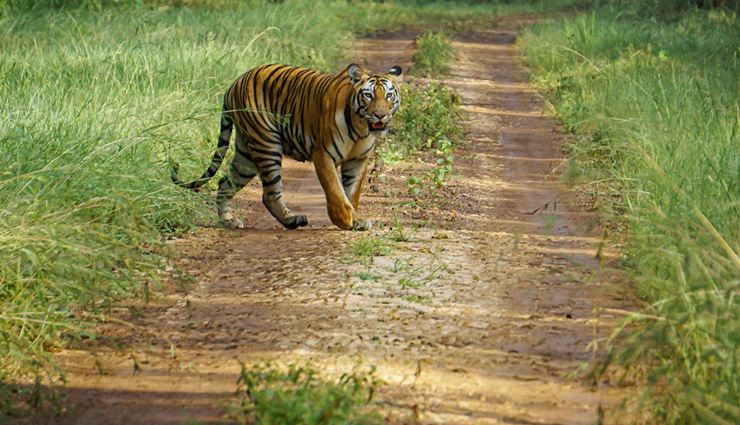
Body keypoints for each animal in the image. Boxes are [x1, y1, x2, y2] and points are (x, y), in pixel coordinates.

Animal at [171, 63, 402, 230]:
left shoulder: (358, 160)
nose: (380, 115)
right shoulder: (323, 155)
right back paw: (292, 220)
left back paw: (228, 221)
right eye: (368, 95)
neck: (361, 128)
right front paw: (344, 220)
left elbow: (352, 193)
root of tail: (233, 85)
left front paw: (356, 220)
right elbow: (336, 190)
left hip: (245, 155)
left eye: (389, 95)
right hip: (266, 144)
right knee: (269, 194)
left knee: (224, 183)